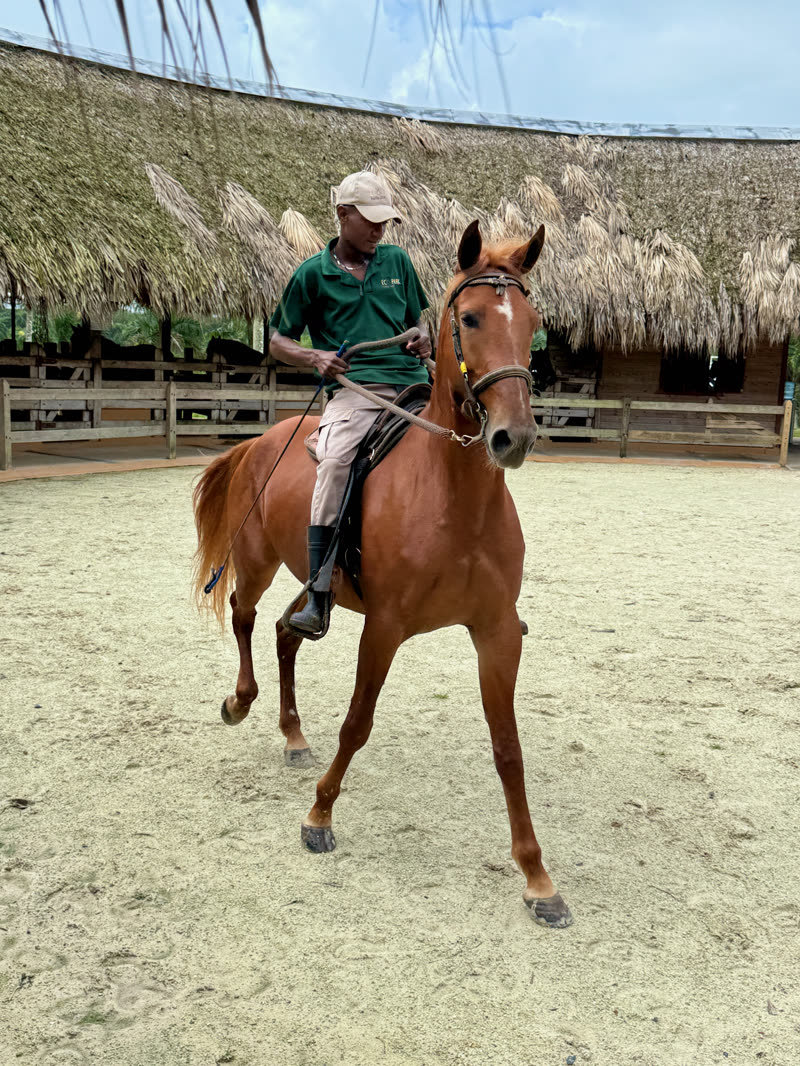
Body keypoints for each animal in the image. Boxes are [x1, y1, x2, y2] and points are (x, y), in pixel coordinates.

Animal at [192, 220, 573, 929]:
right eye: (470, 318)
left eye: (533, 323)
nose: (514, 437)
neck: (455, 501)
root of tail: (261, 440)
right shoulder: (386, 627)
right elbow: (357, 723)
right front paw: (318, 817)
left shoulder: (496, 634)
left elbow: (508, 751)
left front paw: (538, 879)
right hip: (258, 560)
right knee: (245, 616)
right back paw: (240, 701)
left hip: (316, 583)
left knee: (287, 630)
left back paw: (293, 736)